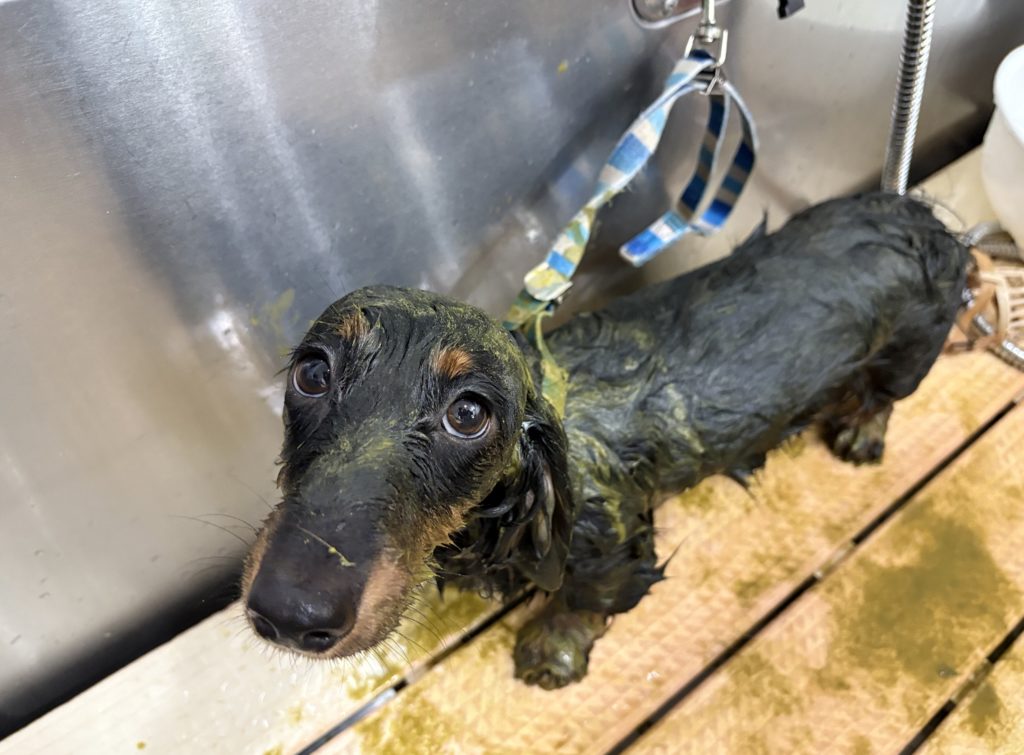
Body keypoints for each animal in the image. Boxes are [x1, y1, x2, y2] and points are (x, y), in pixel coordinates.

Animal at [241, 192, 967, 689]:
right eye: (312, 372)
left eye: (469, 413)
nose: (289, 611)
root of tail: (920, 216)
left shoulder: (615, 544)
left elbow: (583, 602)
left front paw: (551, 650)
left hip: (909, 353)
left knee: (885, 393)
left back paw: (861, 427)